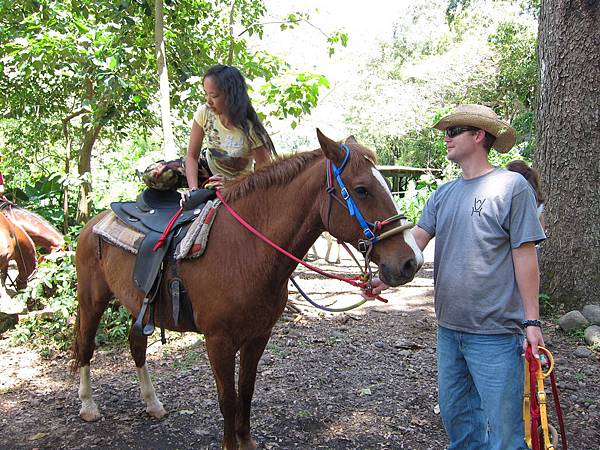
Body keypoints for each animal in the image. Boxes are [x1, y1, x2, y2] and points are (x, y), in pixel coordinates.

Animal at [72, 129, 424, 446]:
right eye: (362, 190)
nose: (411, 262)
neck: (246, 250)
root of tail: (92, 223)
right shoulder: (218, 342)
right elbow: (227, 400)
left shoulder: (258, 336)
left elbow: (247, 391)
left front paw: (247, 441)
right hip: (92, 301)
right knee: (86, 347)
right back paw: (88, 405)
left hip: (137, 306)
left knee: (137, 346)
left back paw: (152, 403)